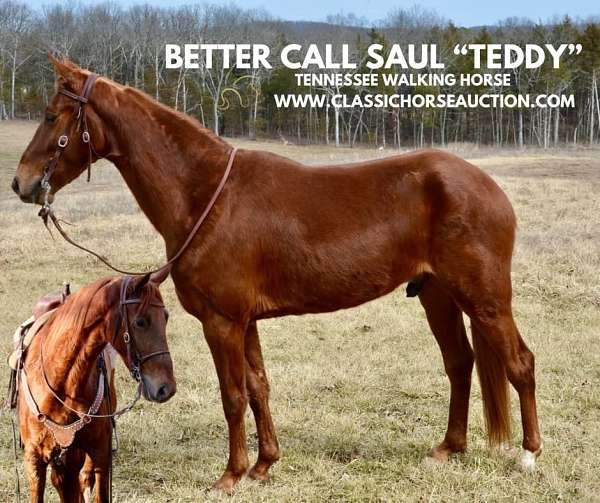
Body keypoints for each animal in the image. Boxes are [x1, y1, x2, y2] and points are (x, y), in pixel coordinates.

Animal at [13, 276, 176, 503]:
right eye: (140, 322)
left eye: (166, 317)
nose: (166, 388)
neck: (62, 384)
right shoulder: (34, 460)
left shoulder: (100, 454)